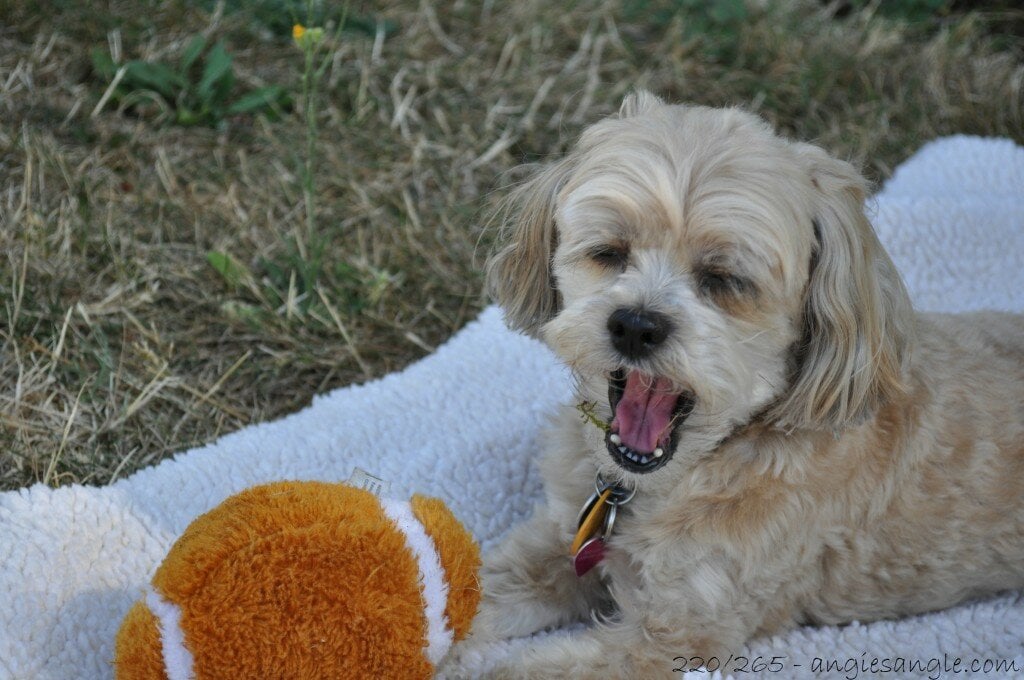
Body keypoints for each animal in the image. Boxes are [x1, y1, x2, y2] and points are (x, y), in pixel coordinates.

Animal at [462, 91, 1024, 680]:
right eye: (610, 252)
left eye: (724, 279)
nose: (636, 325)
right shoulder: (561, 537)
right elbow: (472, 591)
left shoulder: (677, 631)